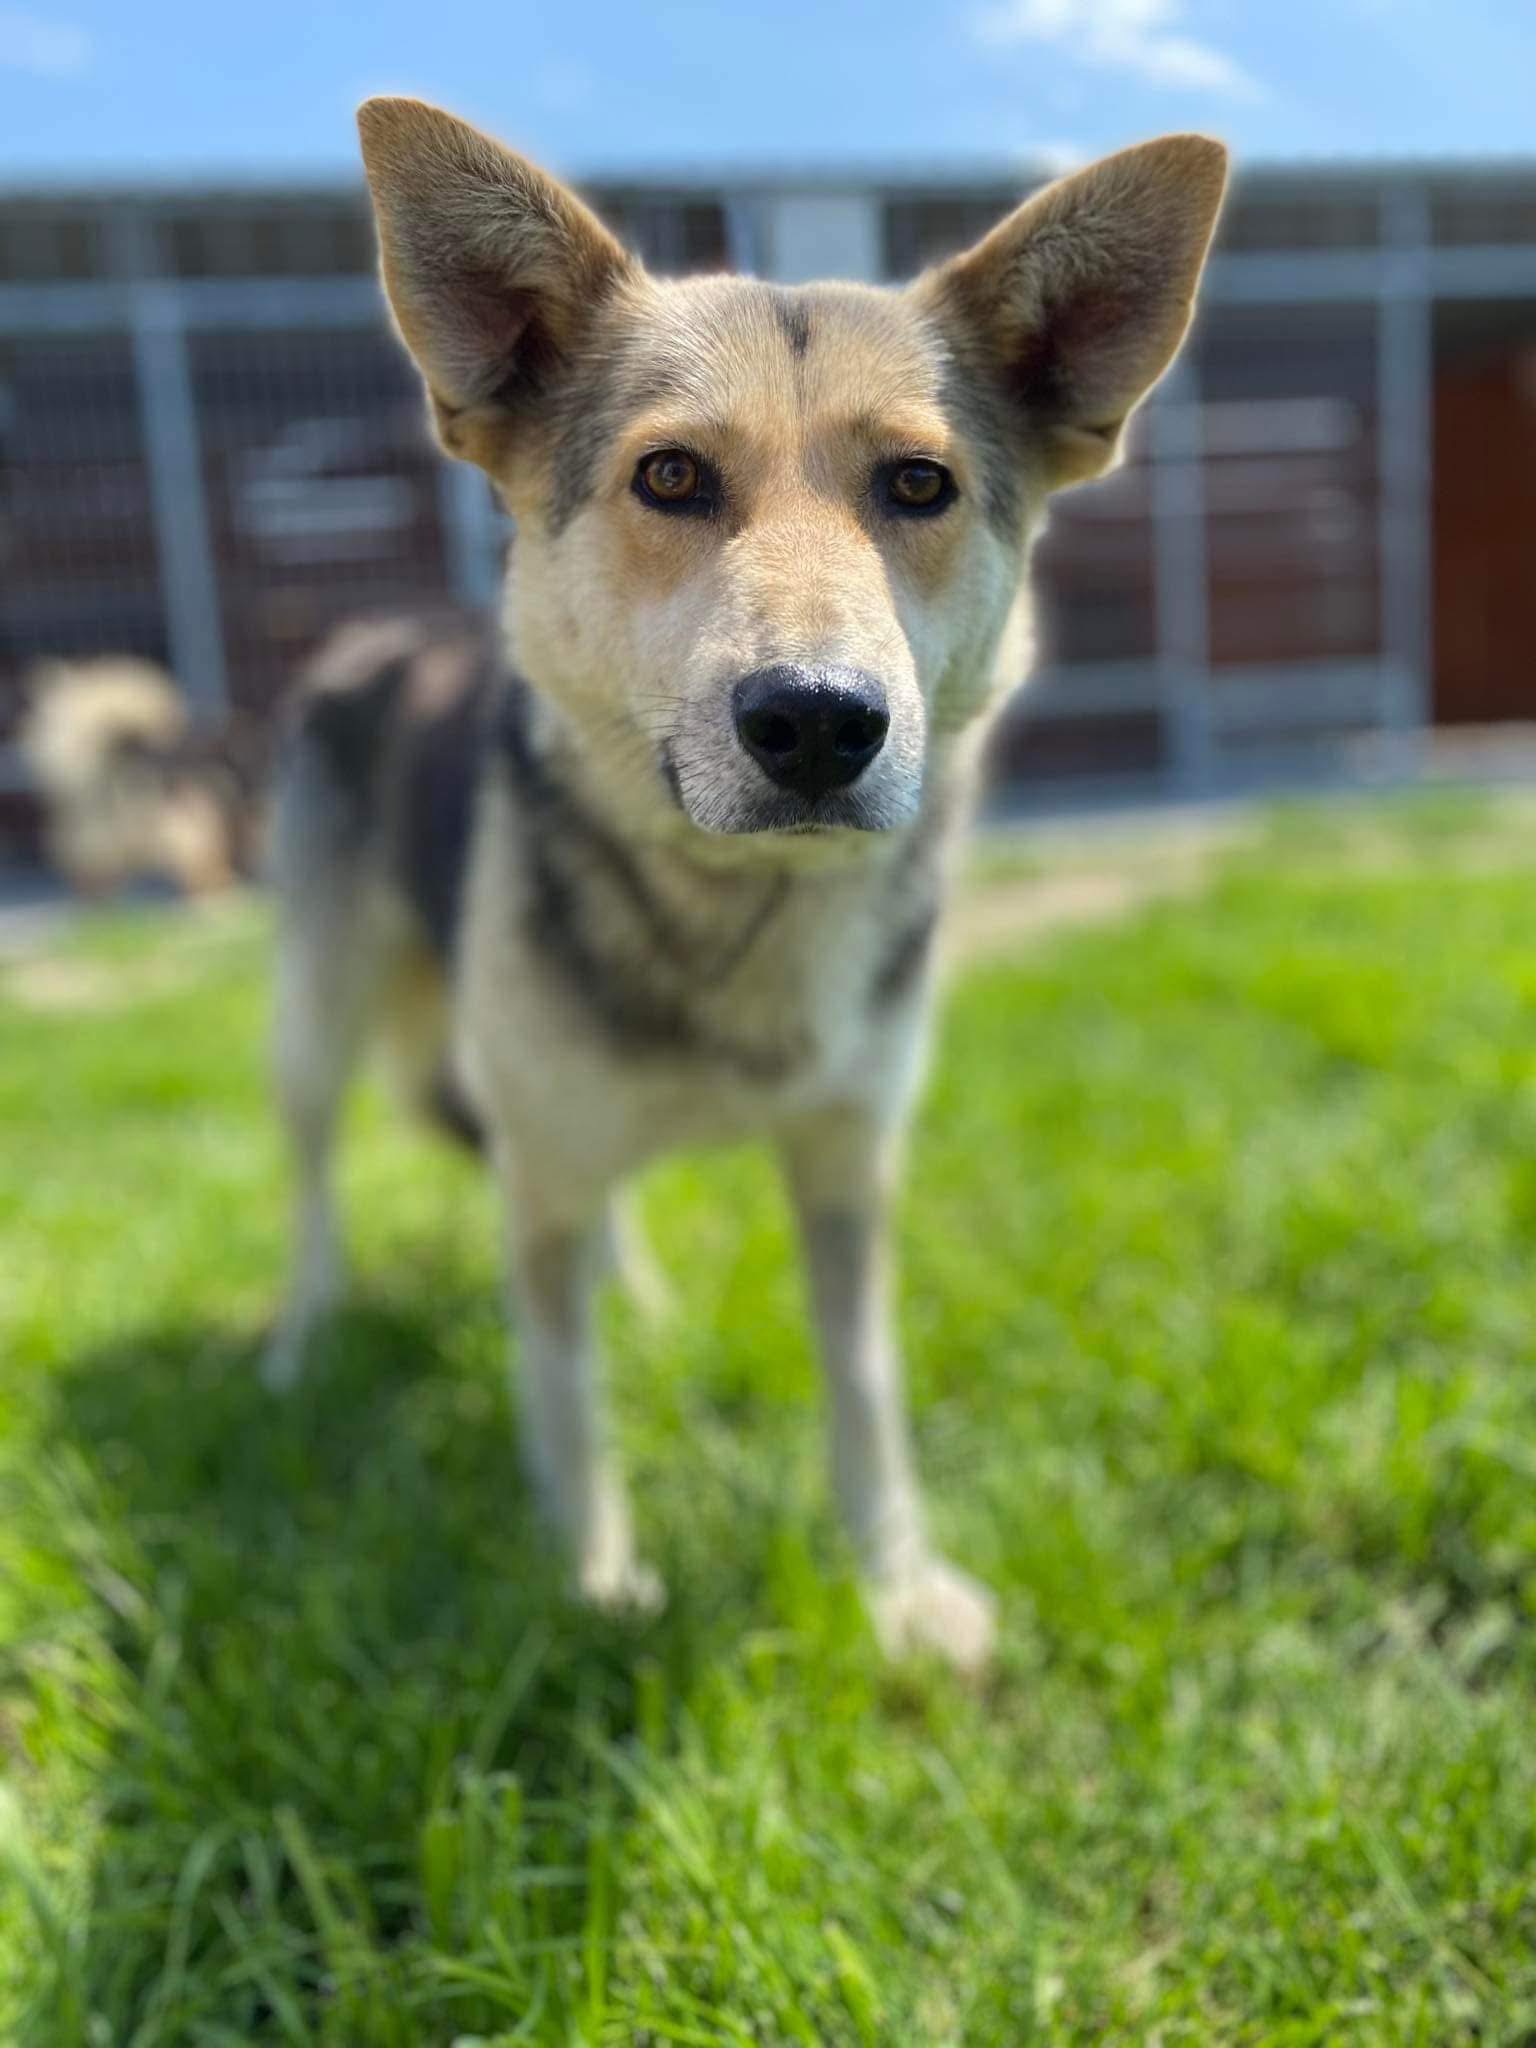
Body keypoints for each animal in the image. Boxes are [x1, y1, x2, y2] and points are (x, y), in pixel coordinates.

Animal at [264, 96, 1226, 1671]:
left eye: (918, 485)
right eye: (670, 477)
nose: (820, 722)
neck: (740, 905)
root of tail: (376, 627)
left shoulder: (848, 1162)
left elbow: (867, 1392)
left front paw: (899, 1591)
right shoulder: (539, 1166)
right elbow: (568, 1405)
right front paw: (594, 1585)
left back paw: (637, 1297)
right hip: (320, 1013)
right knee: (316, 1183)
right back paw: (300, 1341)